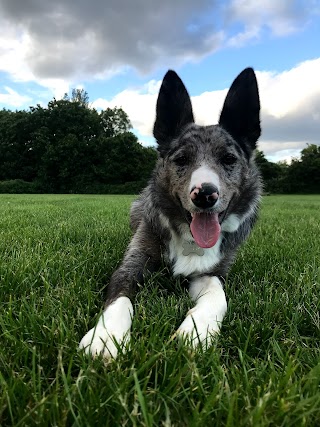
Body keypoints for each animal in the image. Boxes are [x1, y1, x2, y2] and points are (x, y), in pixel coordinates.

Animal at [79, 68, 262, 360]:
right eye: (181, 159)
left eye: (229, 159)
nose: (205, 194)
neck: (188, 238)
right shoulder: (132, 264)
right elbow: (120, 297)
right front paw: (107, 337)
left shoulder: (211, 273)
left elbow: (218, 295)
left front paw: (198, 332)